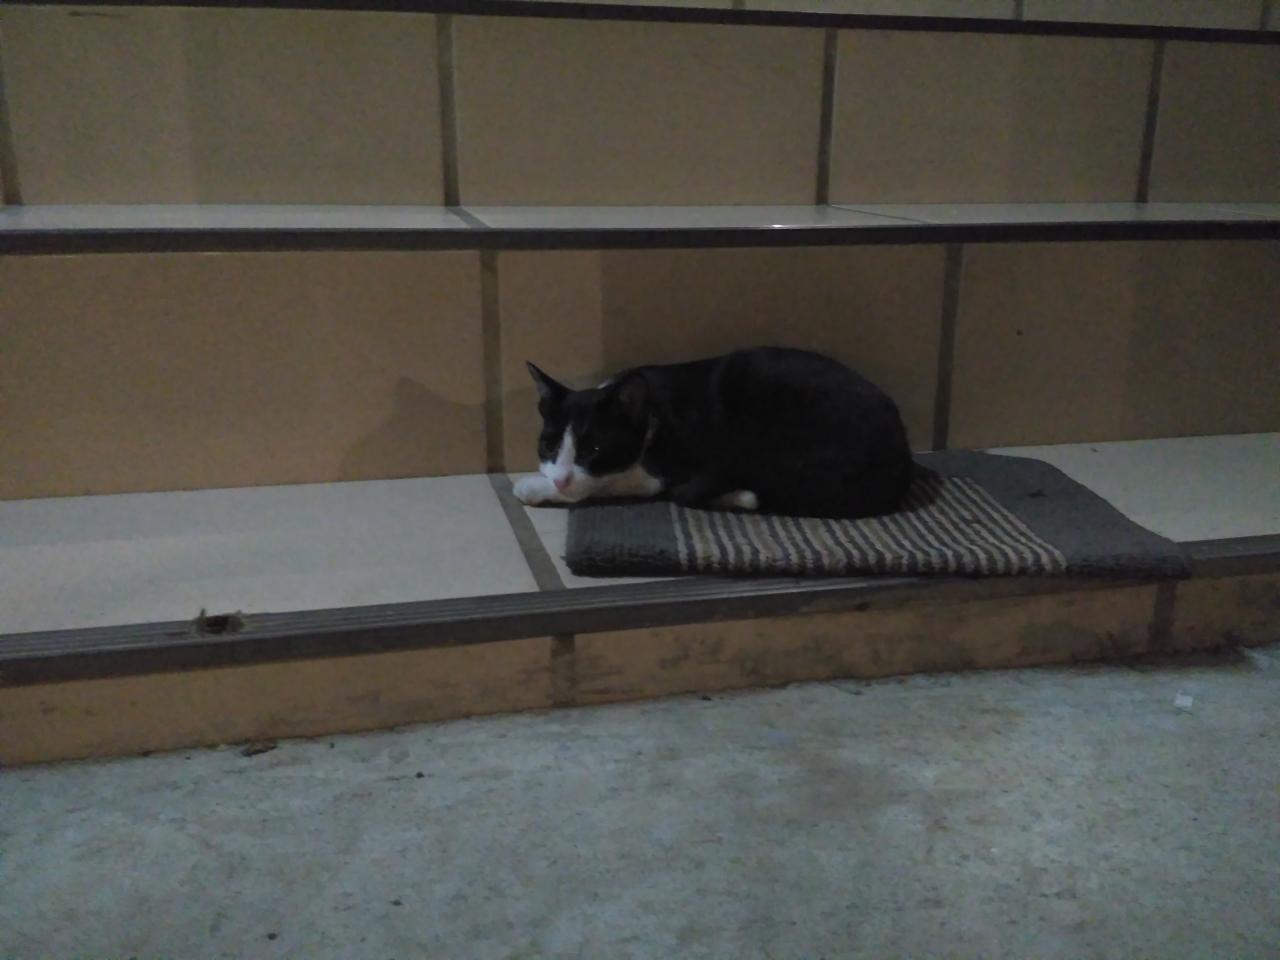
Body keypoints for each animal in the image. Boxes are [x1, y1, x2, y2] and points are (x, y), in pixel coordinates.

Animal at [513, 346, 913, 519]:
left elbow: (608, 483)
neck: (651, 412)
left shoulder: (677, 460)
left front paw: (534, 487)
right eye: (548, 444)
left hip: (758, 434)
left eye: (594, 449)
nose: (560, 479)